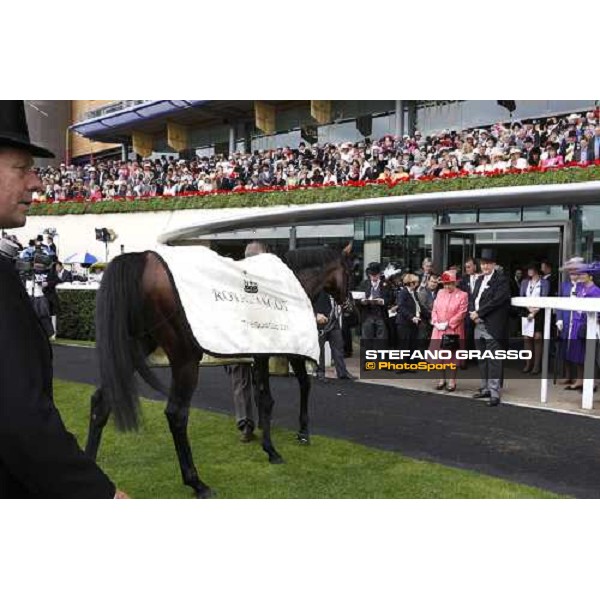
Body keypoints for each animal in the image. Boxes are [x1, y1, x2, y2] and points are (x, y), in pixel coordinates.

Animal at [84, 244, 352, 496]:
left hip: (136, 346)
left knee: (102, 401)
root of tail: (144, 258)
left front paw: (267, 442)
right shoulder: (285, 350)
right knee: (176, 414)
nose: (348, 306)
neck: (290, 283)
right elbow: (291, 390)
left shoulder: (259, 353)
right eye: (351, 271)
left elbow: (262, 397)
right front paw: (291, 440)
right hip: (185, 359)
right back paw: (197, 483)